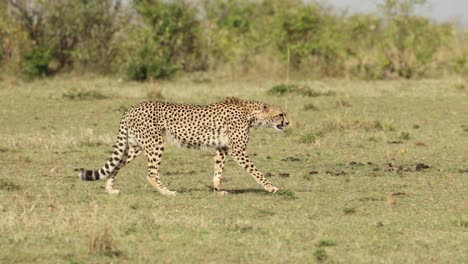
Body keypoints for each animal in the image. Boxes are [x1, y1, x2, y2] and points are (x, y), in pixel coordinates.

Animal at [76, 97, 288, 196]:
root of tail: (132, 107)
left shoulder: (222, 148)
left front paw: (218, 190)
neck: (251, 113)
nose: (287, 123)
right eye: (280, 114)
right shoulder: (238, 151)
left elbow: (218, 171)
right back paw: (167, 192)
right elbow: (256, 171)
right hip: (155, 143)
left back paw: (110, 189)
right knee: (151, 173)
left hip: (136, 146)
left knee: (116, 164)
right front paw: (271, 187)